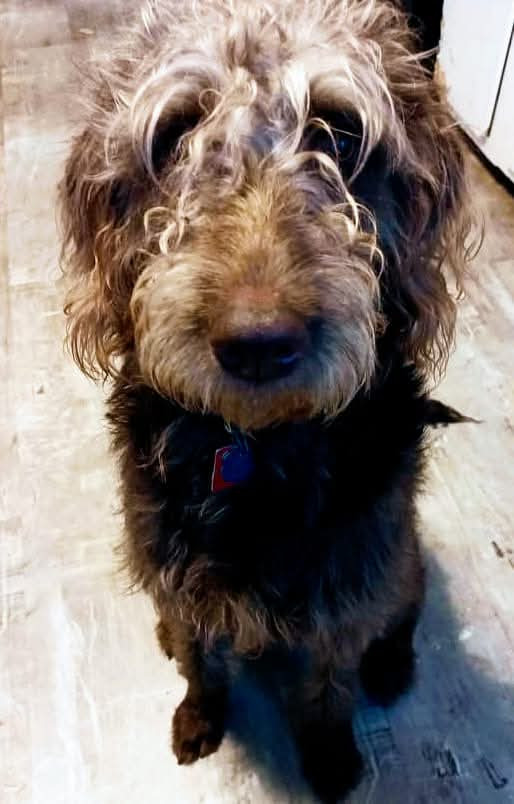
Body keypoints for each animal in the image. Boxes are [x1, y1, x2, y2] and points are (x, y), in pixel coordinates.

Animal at [59, 1, 474, 800]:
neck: (253, 449)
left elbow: (329, 687)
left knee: (404, 610)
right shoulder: (174, 567)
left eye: (341, 131)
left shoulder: (345, 589)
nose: (257, 344)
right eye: (177, 132)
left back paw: (393, 663)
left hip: (400, 560)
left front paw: (332, 756)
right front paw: (198, 713)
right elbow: (201, 661)